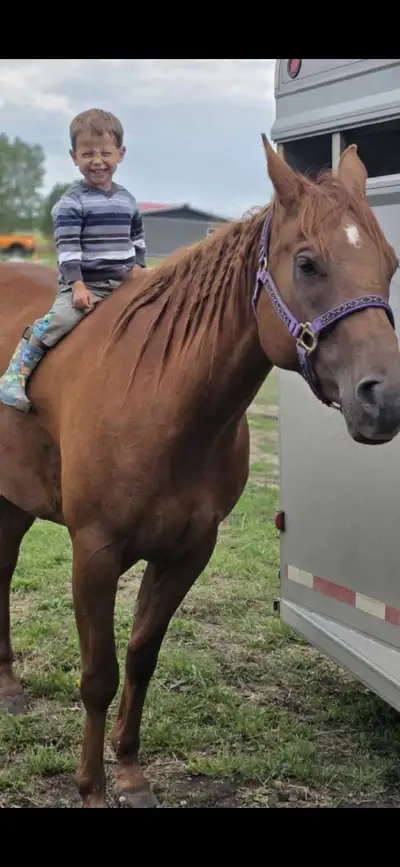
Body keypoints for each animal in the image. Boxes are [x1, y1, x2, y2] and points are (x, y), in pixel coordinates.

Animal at [0, 135, 400, 809]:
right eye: (308, 264)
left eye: (390, 264)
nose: (386, 398)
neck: (162, 398)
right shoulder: (94, 553)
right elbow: (98, 674)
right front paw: (90, 788)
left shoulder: (188, 553)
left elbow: (141, 659)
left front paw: (130, 774)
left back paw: (6, 685)